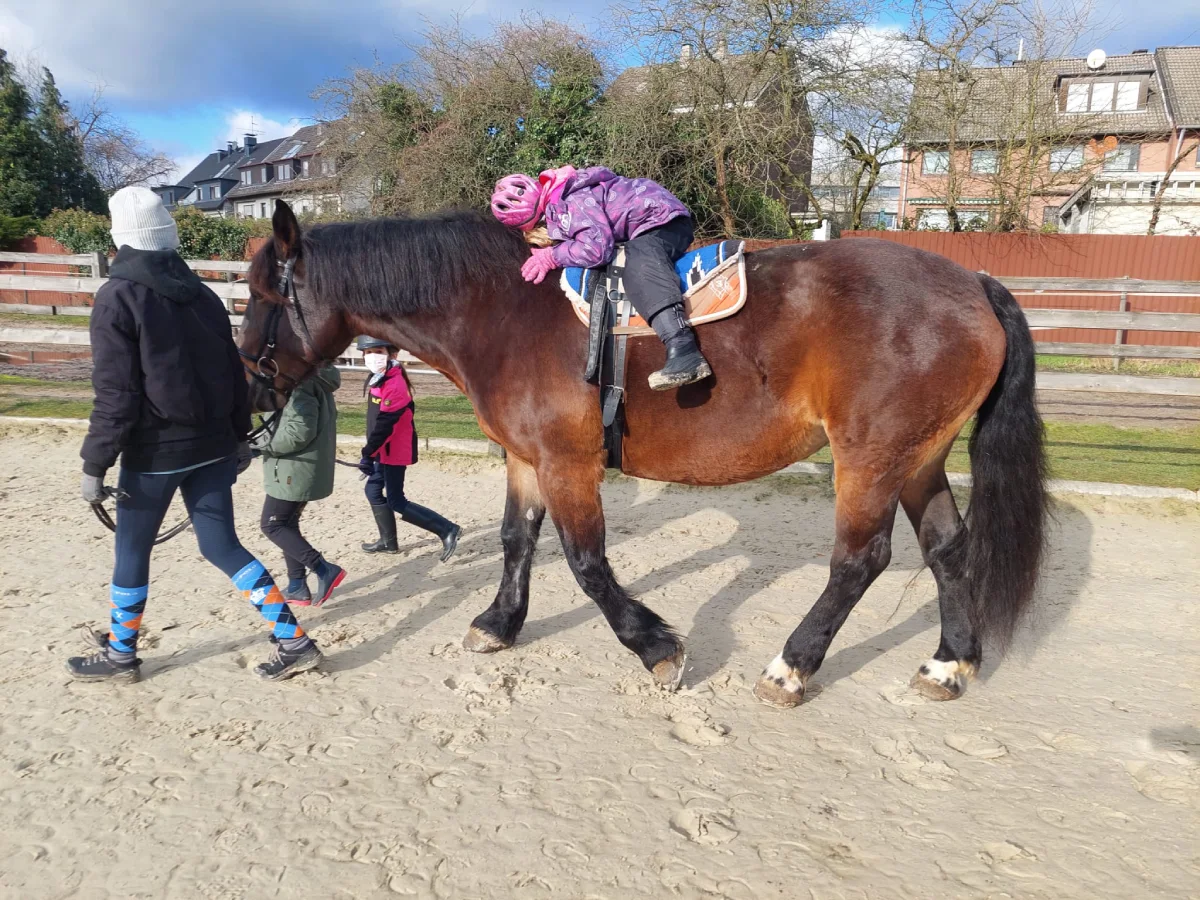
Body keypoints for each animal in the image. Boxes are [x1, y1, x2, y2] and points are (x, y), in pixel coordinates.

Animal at [238, 202, 1046, 710]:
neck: (503, 312)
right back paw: (948, 663)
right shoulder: (526, 461)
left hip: (871, 457)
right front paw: (498, 624)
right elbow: (516, 541)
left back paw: (791, 668)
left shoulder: (567, 464)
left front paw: (654, 645)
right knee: (947, 549)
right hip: (918, 457)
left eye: (263, 297)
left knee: (860, 561)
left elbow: (587, 563)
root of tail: (973, 281)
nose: (249, 382)